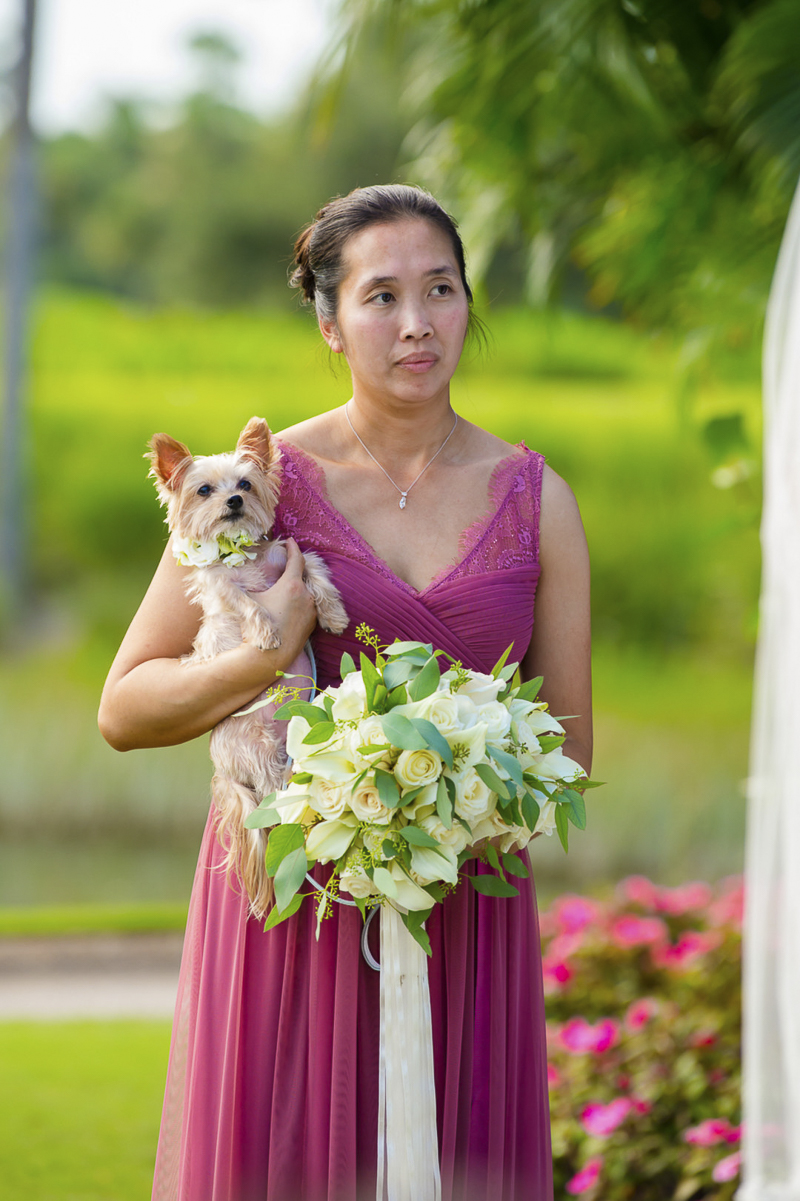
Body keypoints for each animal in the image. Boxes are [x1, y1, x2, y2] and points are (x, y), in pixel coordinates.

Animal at [147, 417, 348, 912]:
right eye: (204, 490)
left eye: (245, 484)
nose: (234, 501)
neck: (243, 554)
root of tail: (226, 773)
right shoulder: (221, 586)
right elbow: (245, 602)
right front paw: (267, 633)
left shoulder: (287, 555)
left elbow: (314, 566)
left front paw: (333, 613)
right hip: (259, 749)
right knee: (272, 795)